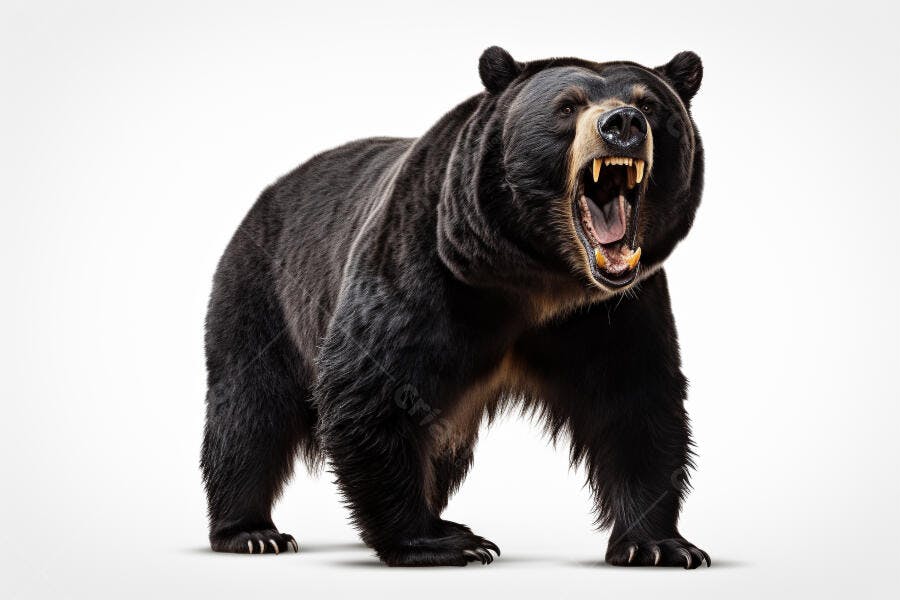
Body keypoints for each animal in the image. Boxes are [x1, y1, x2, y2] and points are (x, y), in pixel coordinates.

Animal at [201, 46, 708, 568]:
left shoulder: (612, 311)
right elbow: (373, 392)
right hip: (263, 293)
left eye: (648, 104)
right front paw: (440, 542)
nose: (623, 123)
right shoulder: (424, 271)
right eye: (567, 106)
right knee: (250, 411)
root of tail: (267, 193)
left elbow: (636, 404)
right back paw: (252, 532)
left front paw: (659, 544)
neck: (541, 280)